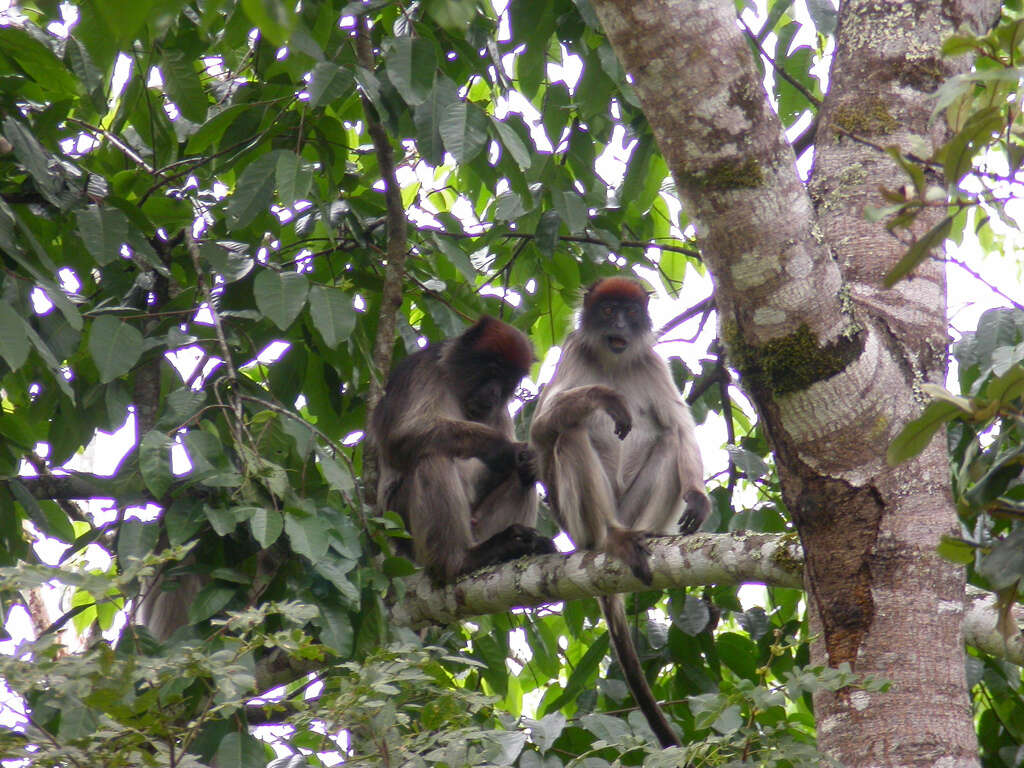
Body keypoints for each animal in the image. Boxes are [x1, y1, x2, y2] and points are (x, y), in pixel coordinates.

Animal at [368, 313, 557, 581]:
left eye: (508, 381)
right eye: (493, 370)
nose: (494, 392)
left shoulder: (496, 408)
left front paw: (527, 459)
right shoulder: (422, 370)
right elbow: (401, 437)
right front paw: (504, 448)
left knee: (522, 476)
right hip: (401, 525)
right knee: (433, 457)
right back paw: (458, 561)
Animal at [528, 278, 712, 753]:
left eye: (629, 312)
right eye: (608, 309)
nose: (620, 327)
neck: (612, 359)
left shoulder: (652, 362)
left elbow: (680, 429)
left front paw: (699, 499)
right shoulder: (575, 350)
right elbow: (540, 432)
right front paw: (604, 397)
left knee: (668, 438)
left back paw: (646, 535)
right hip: (581, 525)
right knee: (570, 433)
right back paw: (613, 539)